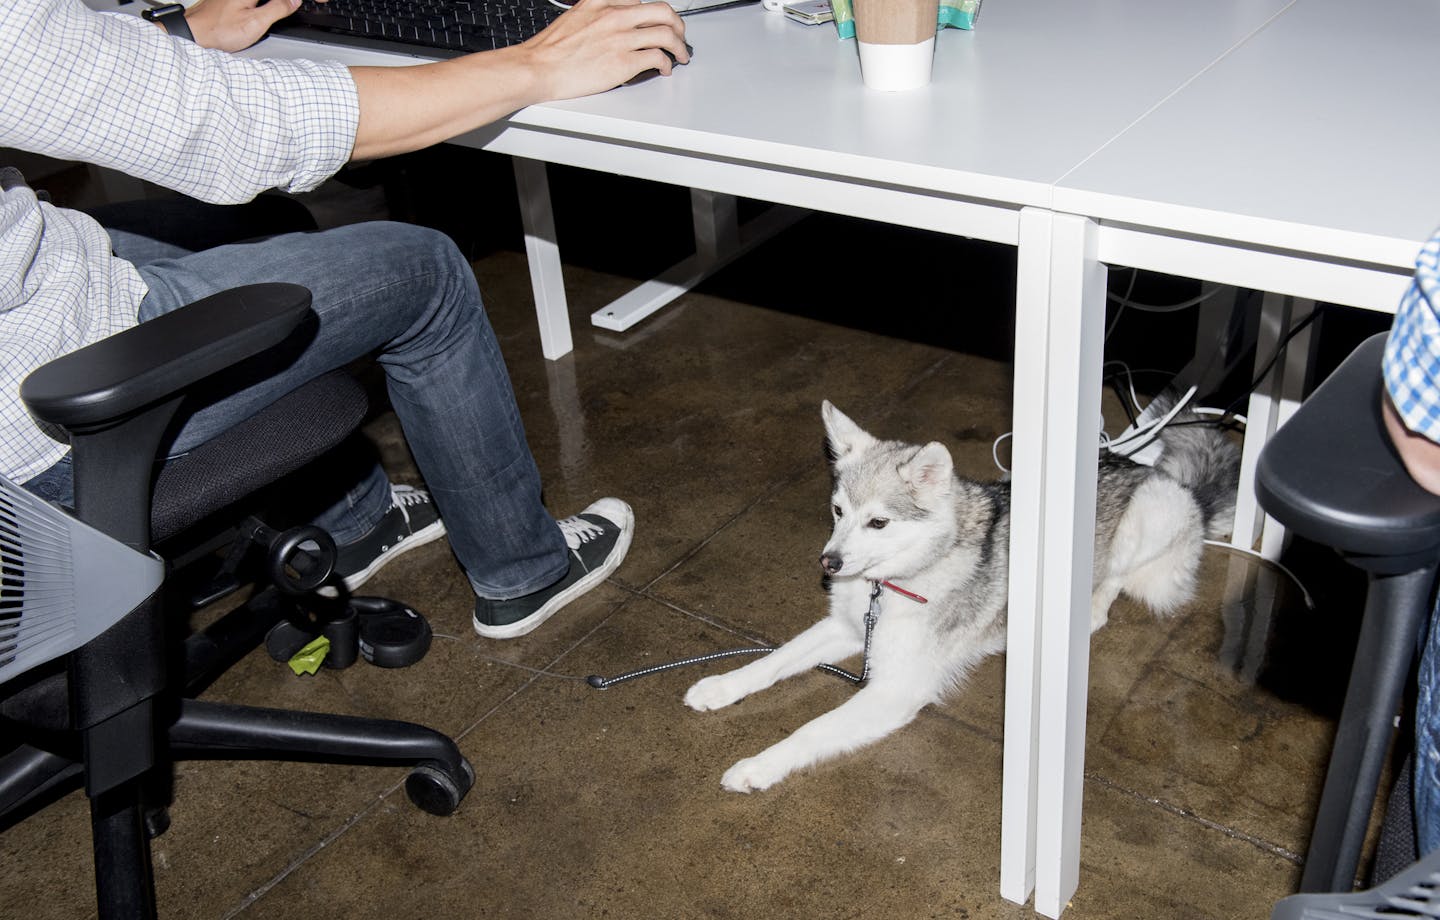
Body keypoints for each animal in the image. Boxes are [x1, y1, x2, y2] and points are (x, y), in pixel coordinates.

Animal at [685, 400, 1238, 794]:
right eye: (838, 511)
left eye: (878, 522)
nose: (829, 564)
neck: (896, 580)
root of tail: (1176, 483)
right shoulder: (846, 628)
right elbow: (772, 662)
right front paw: (721, 686)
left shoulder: (894, 690)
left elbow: (811, 730)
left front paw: (758, 766)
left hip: (1146, 519)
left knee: (1111, 587)